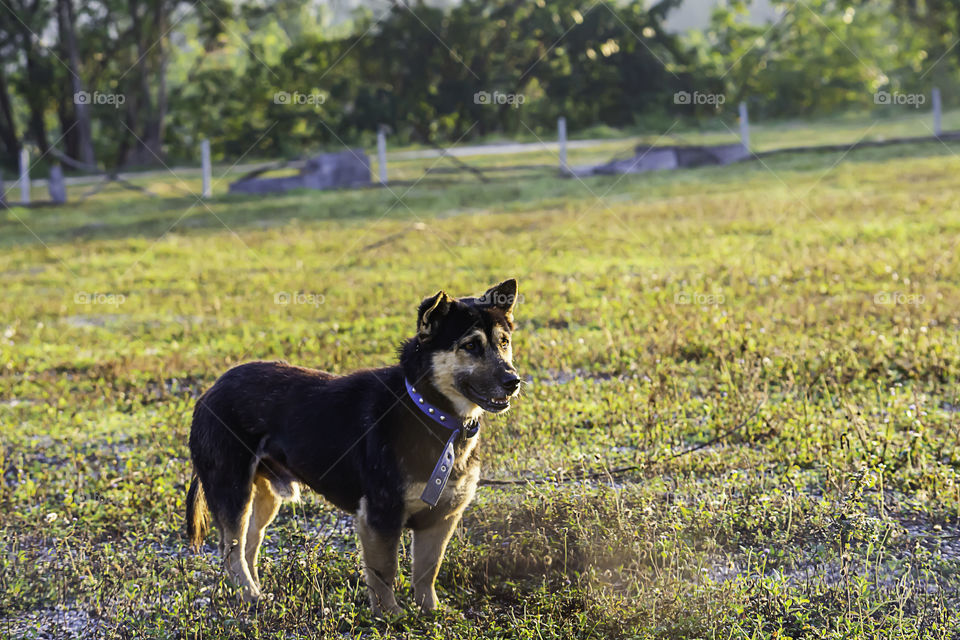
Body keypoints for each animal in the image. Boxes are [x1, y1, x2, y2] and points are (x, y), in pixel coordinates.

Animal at [184, 280, 520, 616]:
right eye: (471, 346)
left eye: (504, 343)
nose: (513, 381)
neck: (431, 411)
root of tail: (210, 391)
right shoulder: (380, 516)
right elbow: (385, 572)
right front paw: (390, 616)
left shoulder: (441, 518)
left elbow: (428, 570)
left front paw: (431, 611)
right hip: (232, 491)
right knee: (231, 551)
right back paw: (250, 595)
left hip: (265, 498)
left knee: (250, 545)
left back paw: (256, 594)